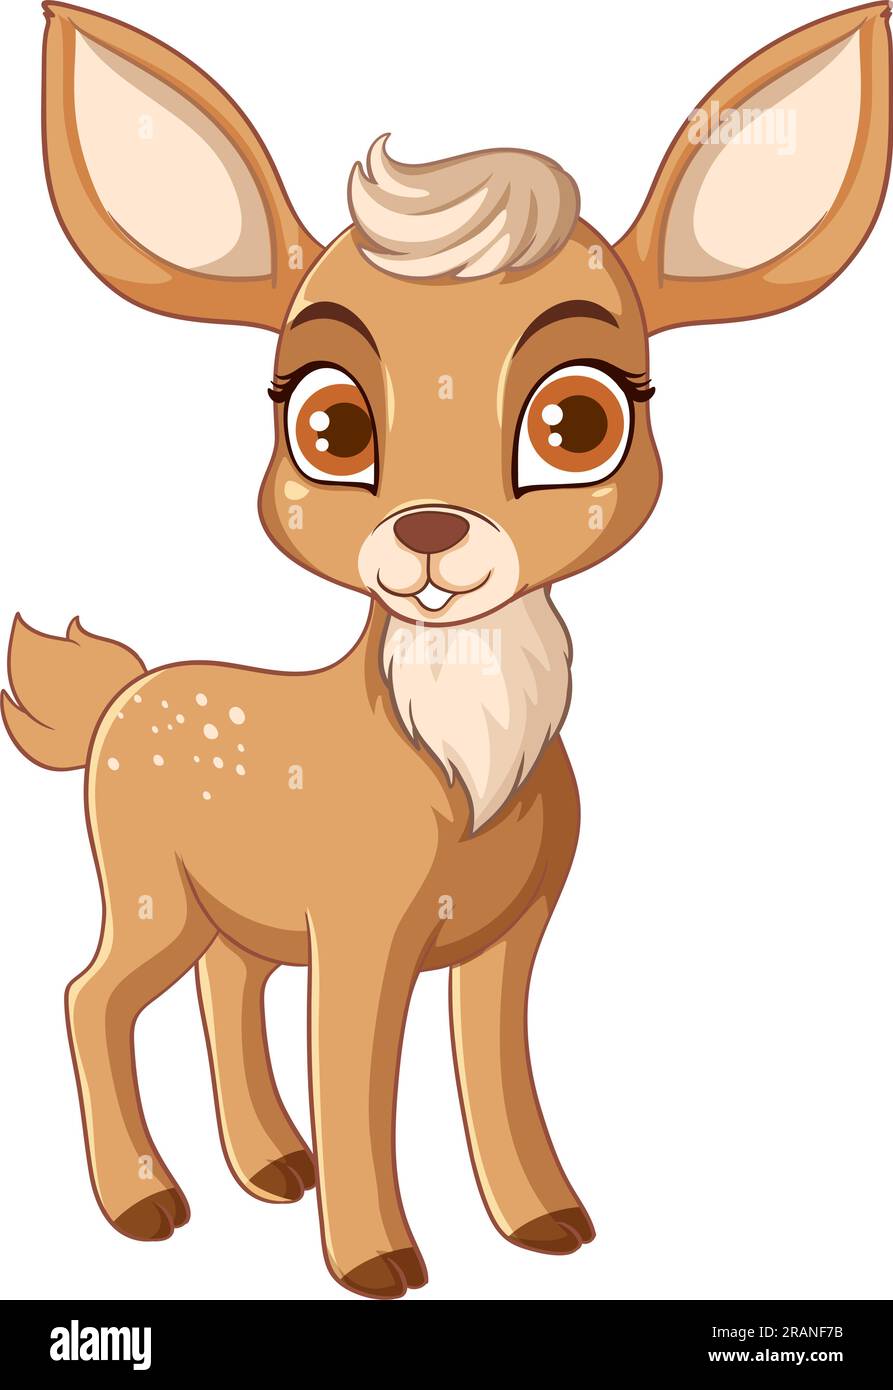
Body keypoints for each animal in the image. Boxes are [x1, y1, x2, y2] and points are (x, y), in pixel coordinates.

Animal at [3, 2, 890, 1299]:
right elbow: (356, 1074)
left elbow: (496, 1074)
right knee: (91, 994)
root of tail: (125, 695)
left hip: (231, 909)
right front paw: (377, 1257)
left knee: (225, 982)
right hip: (150, 888)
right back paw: (144, 1202)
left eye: (576, 420)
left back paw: (271, 1166)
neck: (460, 765)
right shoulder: (360, 925)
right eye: (330, 425)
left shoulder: (510, 934)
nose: (428, 533)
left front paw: (546, 1220)